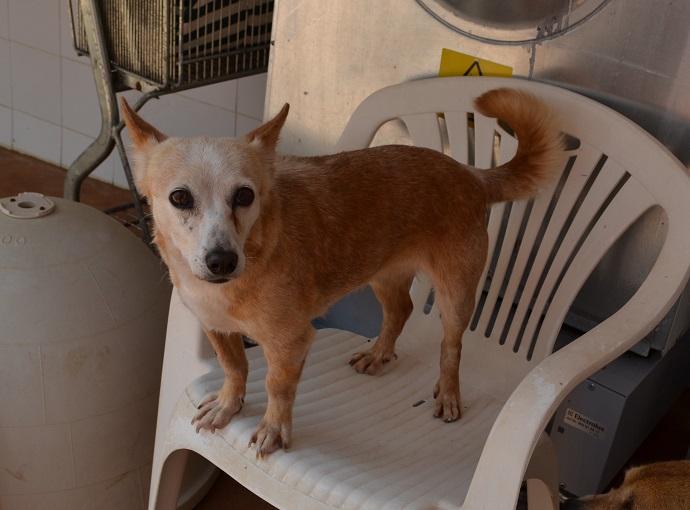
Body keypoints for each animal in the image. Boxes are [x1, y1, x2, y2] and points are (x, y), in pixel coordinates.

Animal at [121, 86, 564, 457]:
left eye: (245, 196)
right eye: (180, 198)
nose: (222, 261)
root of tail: (469, 172)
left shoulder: (291, 342)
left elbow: (277, 384)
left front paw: (273, 429)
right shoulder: (216, 327)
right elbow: (234, 367)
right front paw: (229, 405)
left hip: (455, 296)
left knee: (451, 347)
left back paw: (449, 394)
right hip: (383, 275)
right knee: (400, 311)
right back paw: (378, 354)